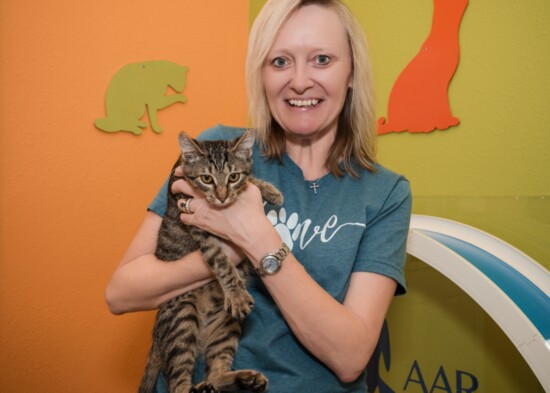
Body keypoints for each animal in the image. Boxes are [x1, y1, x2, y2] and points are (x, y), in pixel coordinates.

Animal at [138, 129, 284, 392]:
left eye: (233, 176)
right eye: (206, 179)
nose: (222, 197)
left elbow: (250, 180)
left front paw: (267, 189)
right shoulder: (198, 227)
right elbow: (221, 262)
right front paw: (236, 292)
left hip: (228, 325)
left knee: (215, 371)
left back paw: (242, 379)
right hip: (182, 318)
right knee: (177, 382)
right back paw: (196, 387)